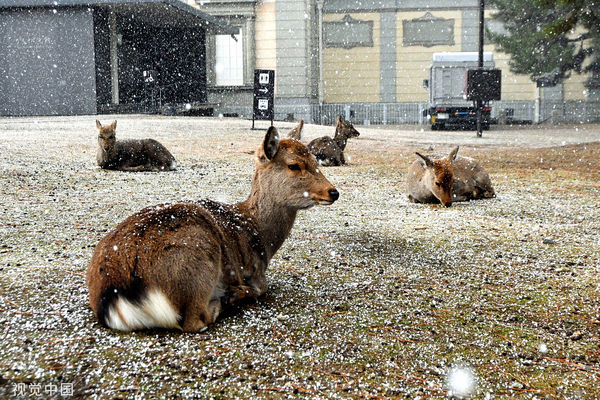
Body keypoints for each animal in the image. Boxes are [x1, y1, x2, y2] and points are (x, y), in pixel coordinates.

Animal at [85, 127, 340, 332]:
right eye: (294, 165)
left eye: (316, 161)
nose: (333, 192)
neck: (260, 237)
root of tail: (112, 292)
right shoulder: (256, 272)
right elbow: (262, 287)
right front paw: (238, 292)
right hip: (198, 259)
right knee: (194, 321)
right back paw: (227, 298)